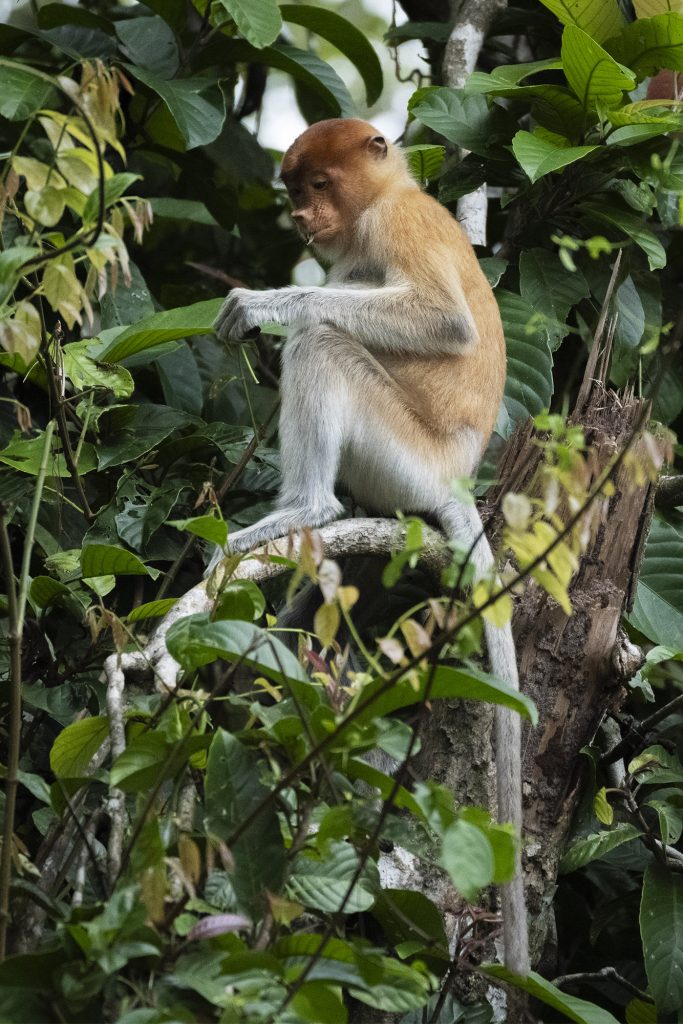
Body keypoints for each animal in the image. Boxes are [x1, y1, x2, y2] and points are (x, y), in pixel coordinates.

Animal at [207, 118, 529, 976]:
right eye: (294, 189)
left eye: (320, 185)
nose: (301, 219)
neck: (391, 192)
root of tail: (453, 477)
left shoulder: (395, 227)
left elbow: (440, 320)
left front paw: (260, 304)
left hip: (401, 452)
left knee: (324, 342)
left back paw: (301, 508)